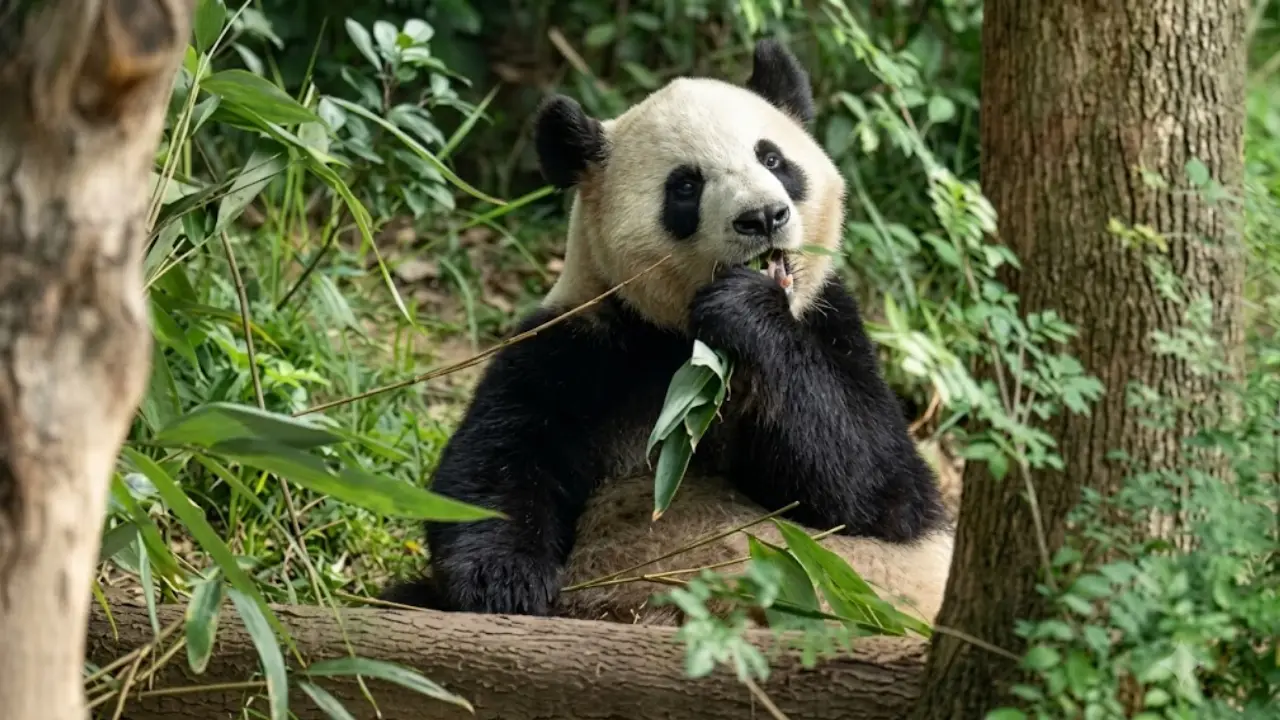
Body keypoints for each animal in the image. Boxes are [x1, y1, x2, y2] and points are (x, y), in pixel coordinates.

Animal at [380, 39, 955, 626]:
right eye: (685, 186)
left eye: (772, 159)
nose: (763, 217)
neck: (684, 342)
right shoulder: (584, 341)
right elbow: (499, 460)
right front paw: (503, 584)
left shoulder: (829, 321)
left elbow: (878, 490)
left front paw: (746, 309)